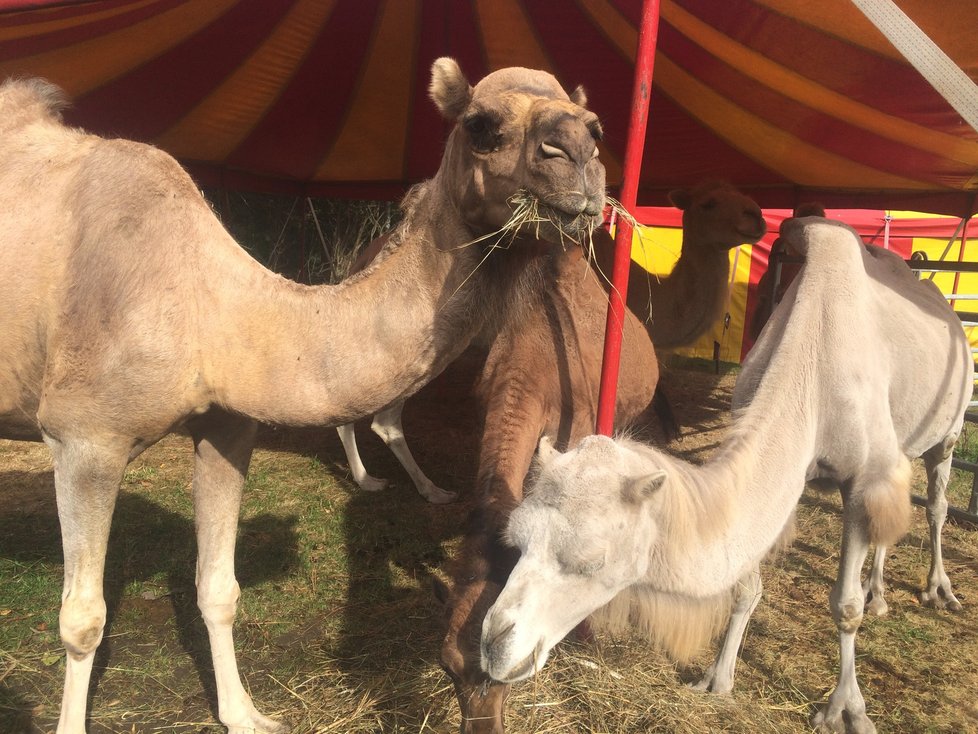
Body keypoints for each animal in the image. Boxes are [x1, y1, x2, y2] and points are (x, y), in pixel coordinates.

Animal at [0, 57, 608, 734]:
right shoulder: (85, 438)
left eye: (593, 122)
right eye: (481, 124)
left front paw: (246, 715)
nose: (580, 154)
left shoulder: (228, 425)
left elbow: (219, 589)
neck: (208, 305)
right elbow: (83, 620)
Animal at [478, 218, 968, 734]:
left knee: (935, 501)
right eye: (516, 540)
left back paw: (938, 591)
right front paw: (718, 677)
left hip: (949, 429)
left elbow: (845, 606)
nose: (493, 644)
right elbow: (744, 586)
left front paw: (846, 709)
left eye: (590, 561)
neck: (813, 370)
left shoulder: (858, 477)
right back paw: (879, 591)